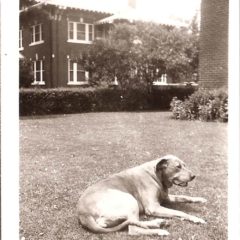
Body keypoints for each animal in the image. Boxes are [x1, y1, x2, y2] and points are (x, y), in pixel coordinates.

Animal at [77, 155, 206, 235]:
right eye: (178, 167)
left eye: (184, 165)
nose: (193, 176)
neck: (155, 175)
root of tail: (83, 214)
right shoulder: (153, 207)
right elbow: (180, 212)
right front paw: (196, 218)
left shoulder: (166, 198)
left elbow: (185, 197)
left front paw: (200, 199)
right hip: (129, 199)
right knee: (133, 228)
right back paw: (159, 229)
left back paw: (158, 222)